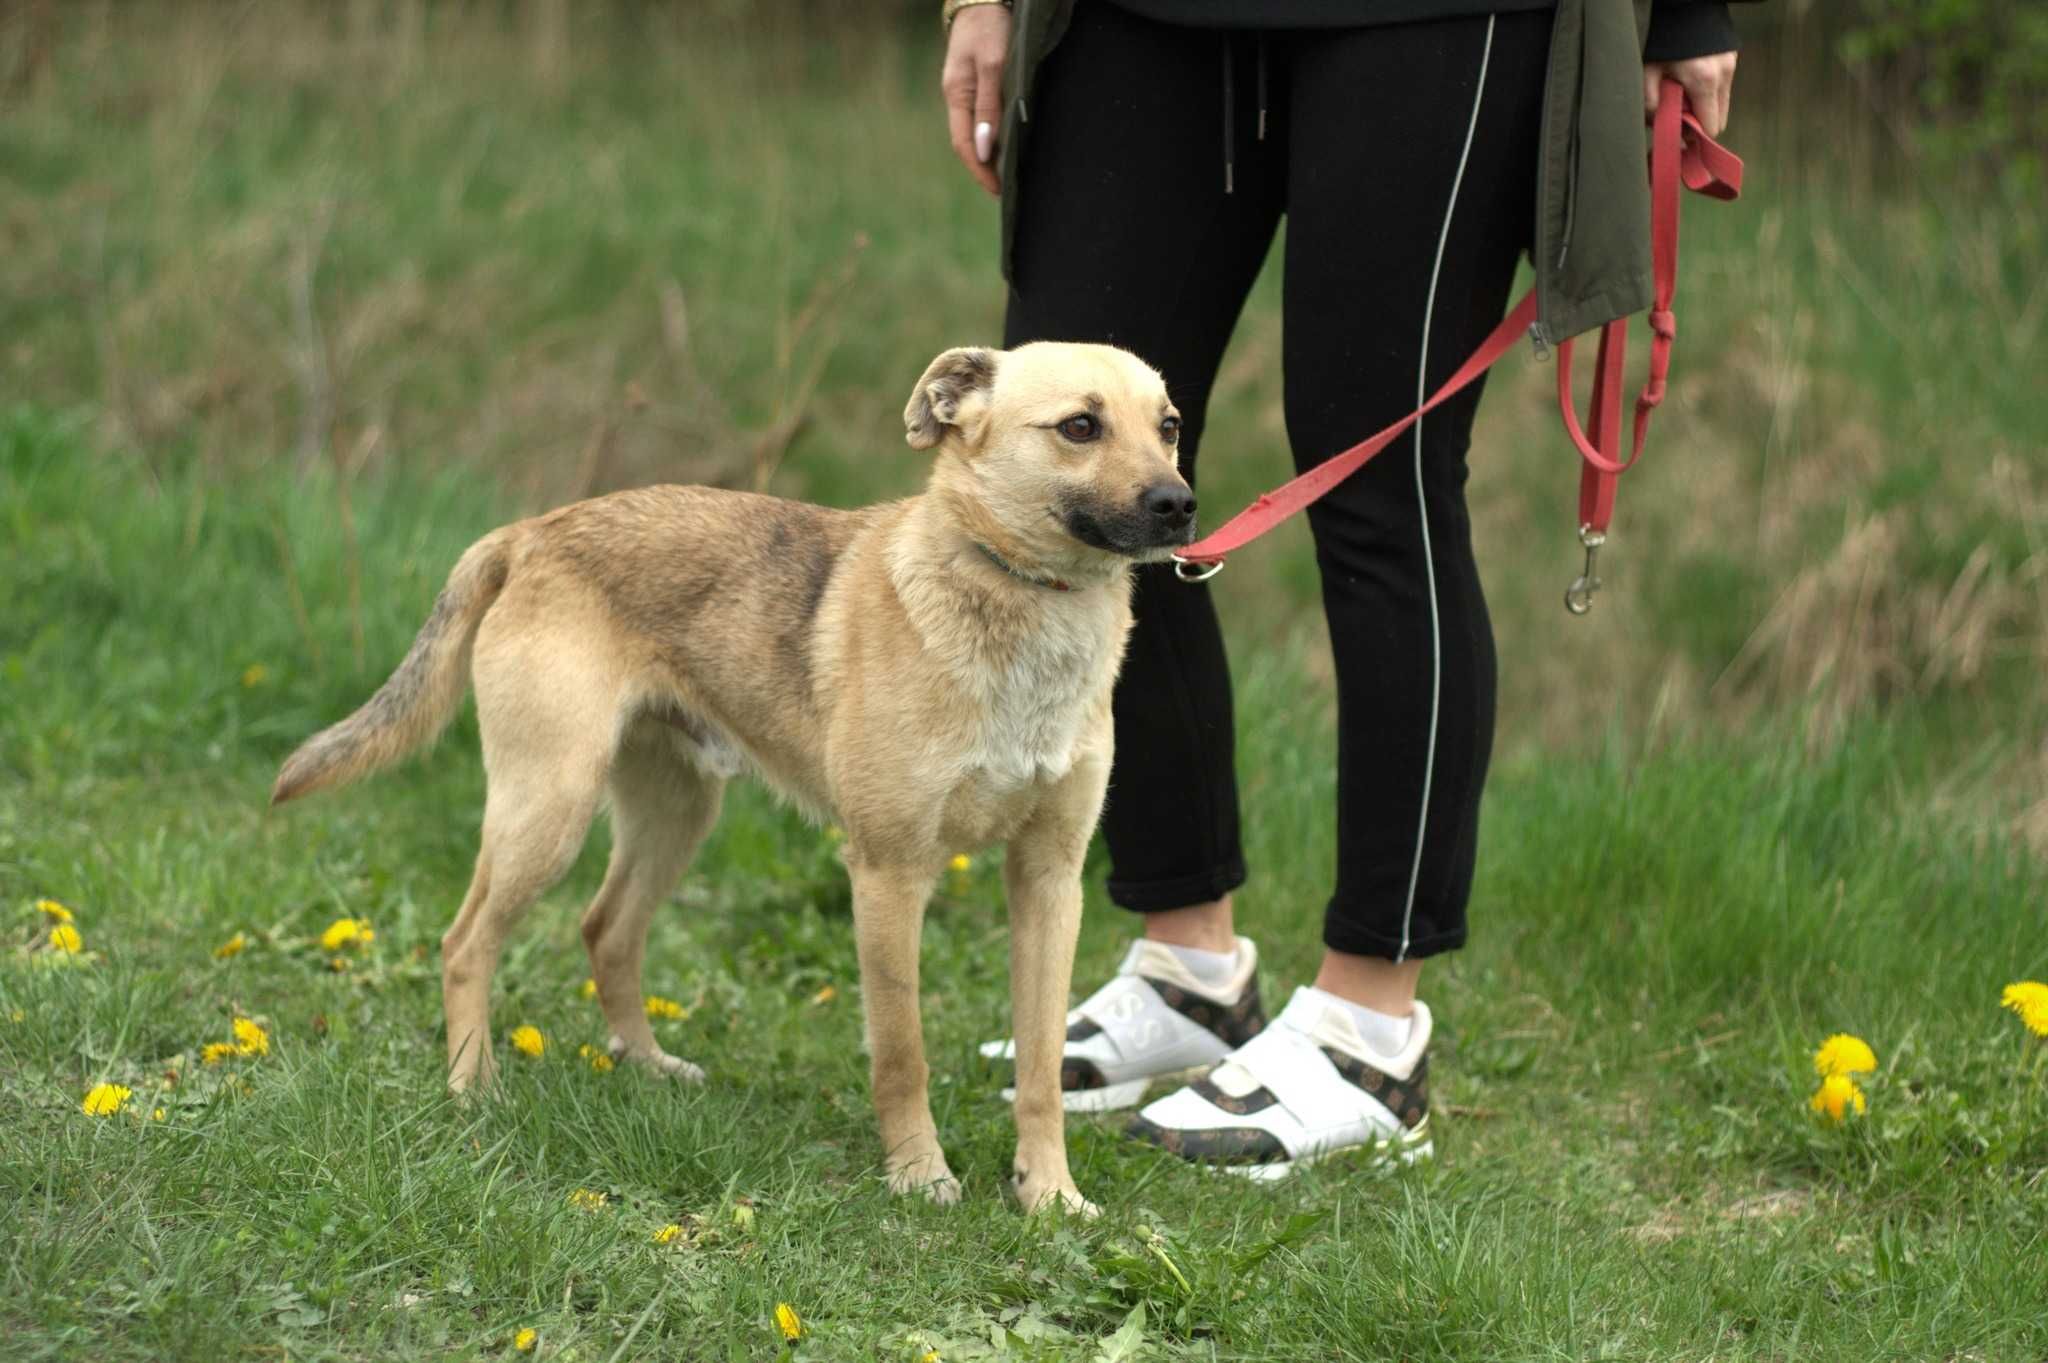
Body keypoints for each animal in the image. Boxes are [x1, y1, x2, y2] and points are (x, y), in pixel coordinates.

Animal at [272, 339, 1196, 1211]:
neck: (1021, 598)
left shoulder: (1050, 878)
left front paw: (1050, 1193)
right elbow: (903, 1054)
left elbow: (1041, 1066)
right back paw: (473, 1087)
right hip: (549, 809)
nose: (1180, 504)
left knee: (607, 930)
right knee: (466, 945)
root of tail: (534, 531)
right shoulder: (889, 873)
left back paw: (647, 1066)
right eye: (1080, 426)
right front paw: (917, 1175)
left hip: (676, 815)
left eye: (1169, 426)